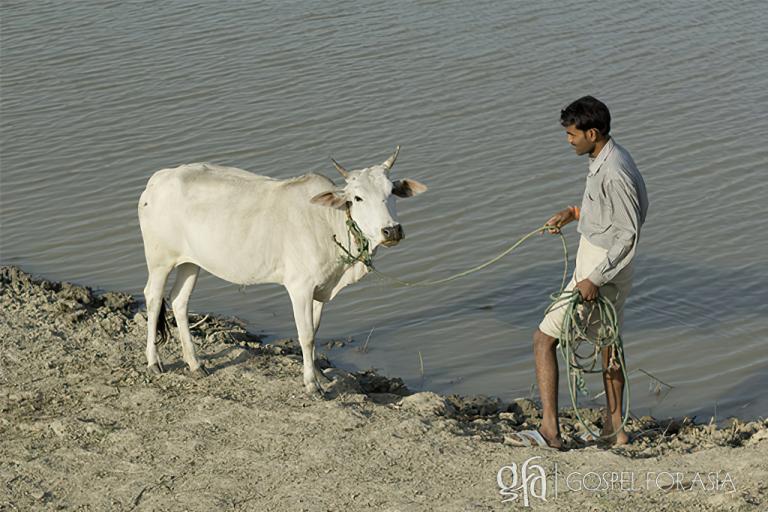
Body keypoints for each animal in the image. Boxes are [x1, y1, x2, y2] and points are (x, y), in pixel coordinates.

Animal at [138, 146, 426, 394]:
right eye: (357, 198)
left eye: (391, 192)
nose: (391, 230)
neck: (328, 222)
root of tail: (157, 180)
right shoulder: (300, 287)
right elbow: (306, 335)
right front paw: (312, 384)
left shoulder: (320, 288)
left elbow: (315, 330)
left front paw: (320, 375)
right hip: (160, 260)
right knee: (153, 298)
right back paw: (153, 361)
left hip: (191, 262)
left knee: (179, 301)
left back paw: (195, 364)